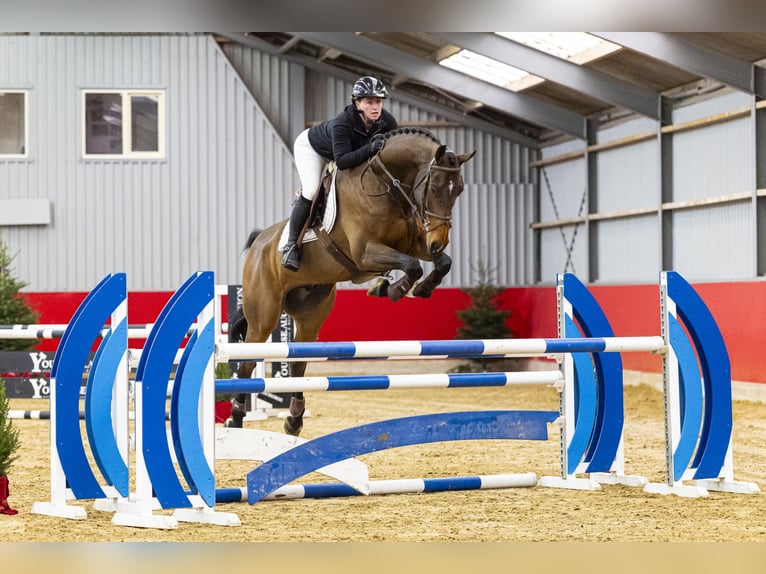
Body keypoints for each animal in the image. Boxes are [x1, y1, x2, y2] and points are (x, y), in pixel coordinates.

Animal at [227, 127, 475, 434]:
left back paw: (294, 419)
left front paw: (418, 287)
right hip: (264, 315)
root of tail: (259, 242)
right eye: (435, 187)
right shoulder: (365, 252)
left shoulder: (411, 243)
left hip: (310, 312)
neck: (386, 184)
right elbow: (413, 265)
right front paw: (394, 288)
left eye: (459, 189)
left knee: (298, 363)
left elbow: (439, 262)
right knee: (248, 362)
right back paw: (237, 418)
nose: (438, 241)